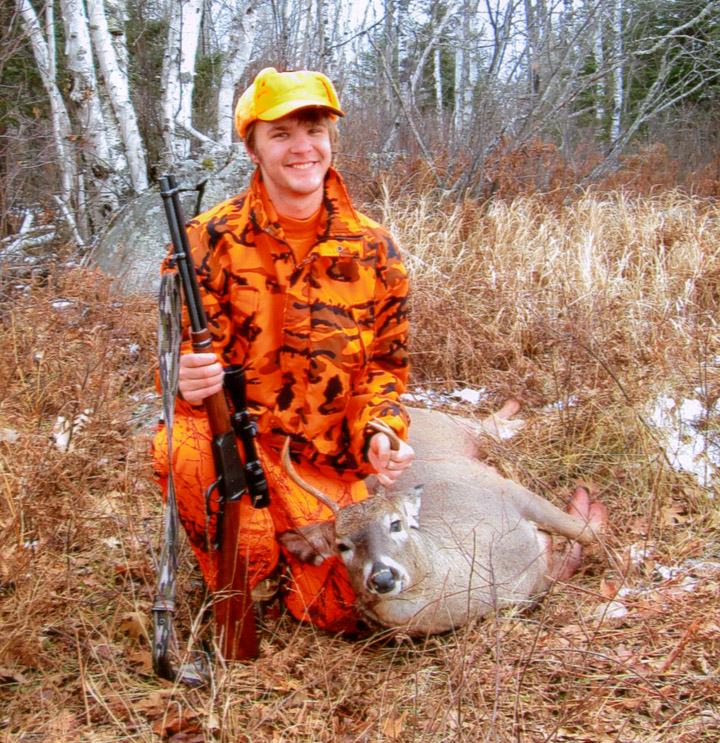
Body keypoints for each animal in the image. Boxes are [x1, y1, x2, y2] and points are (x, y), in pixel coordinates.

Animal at [278, 404, 604, 636]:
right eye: (342, 546)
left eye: (395, 523)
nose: (382, 577)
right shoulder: (539, 577)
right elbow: (573, 551)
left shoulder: (506, 491)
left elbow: (588, 533)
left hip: (450, 426)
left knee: (484, 424)